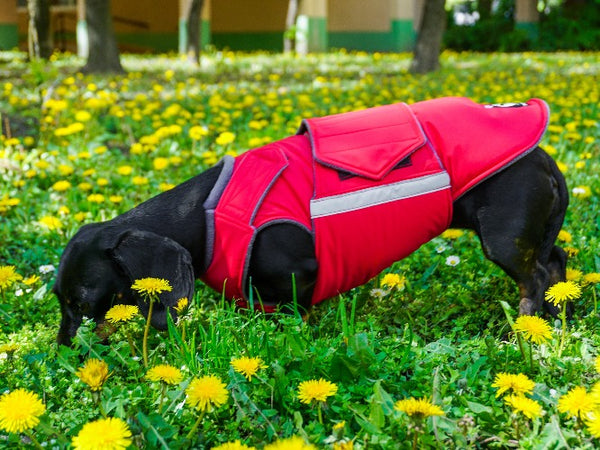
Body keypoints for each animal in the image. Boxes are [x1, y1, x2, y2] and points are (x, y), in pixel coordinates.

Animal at [54, 97, 568, 344]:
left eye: (85, 301)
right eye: (59, 299)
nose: (63, 351)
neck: (203, 216)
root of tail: (542, 155)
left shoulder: (295, 278)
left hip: (503, 239)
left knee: (535, 278)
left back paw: (523, 329)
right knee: (557, 262)